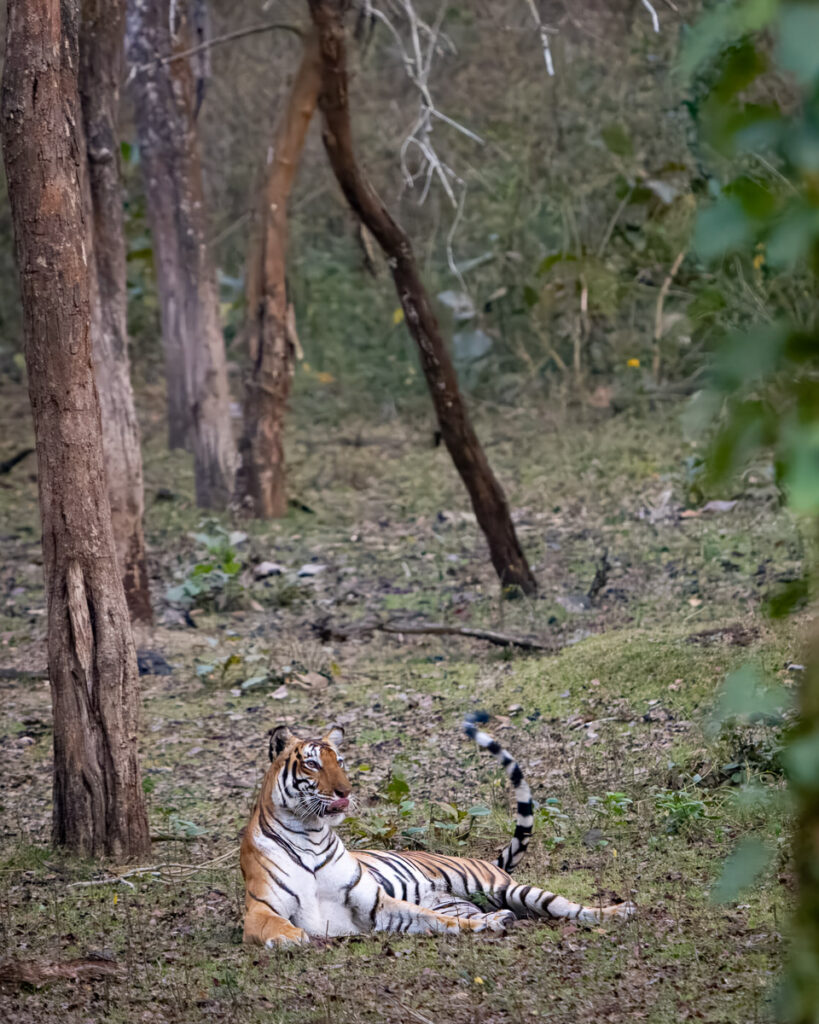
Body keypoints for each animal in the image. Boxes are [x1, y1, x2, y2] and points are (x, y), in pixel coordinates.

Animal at [240, 712, 634, 946]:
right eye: (312, 764)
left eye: (340, 762)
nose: (345, 791)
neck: (311, 833)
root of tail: (490, 863)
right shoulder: (259, 910)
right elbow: (278, 927)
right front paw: (294, 936)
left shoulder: (377, 905)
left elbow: (429, 917)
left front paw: (485, 926)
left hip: (507, 887)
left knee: (566, 906)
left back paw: (617, 912)